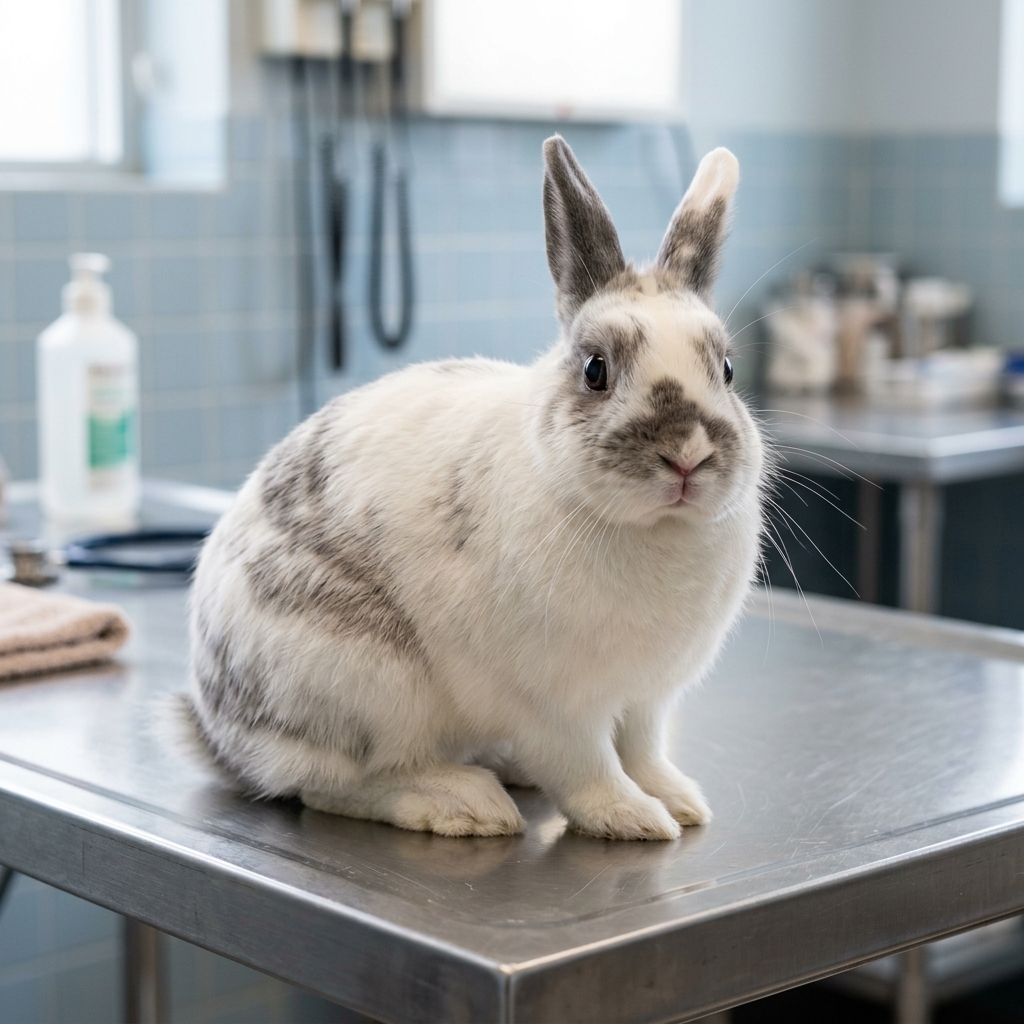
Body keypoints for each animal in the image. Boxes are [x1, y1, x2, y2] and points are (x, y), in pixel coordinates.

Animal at [181, 135, 766, 841]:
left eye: (727, 369)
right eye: (595, 370)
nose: (687, 455)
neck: (652, 530)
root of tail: (218, 732)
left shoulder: (646, 699)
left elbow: (643, 752)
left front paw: (679, 802)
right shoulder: (556, 707)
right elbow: (589, 769)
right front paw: (633, 818)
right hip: (369, 684)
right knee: (333, 784)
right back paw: (464, 802)